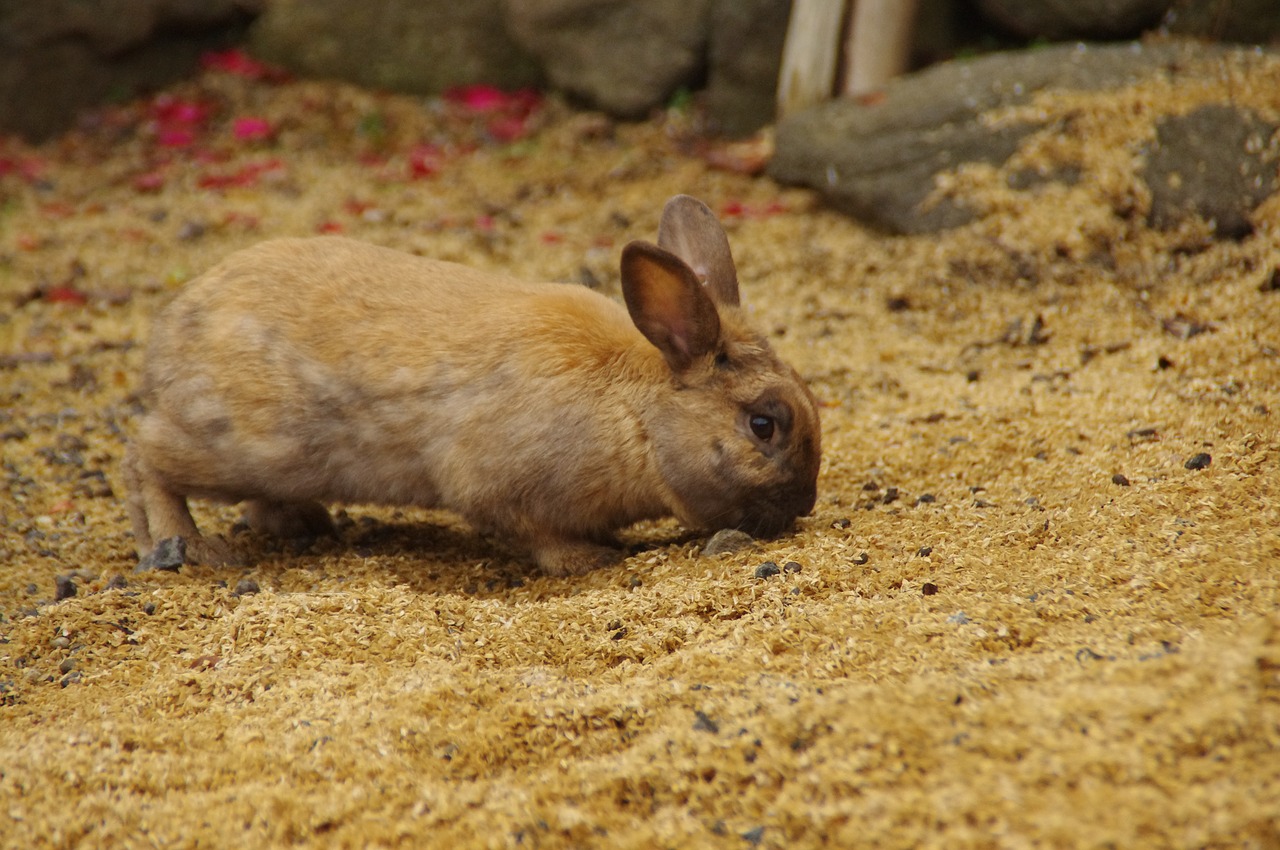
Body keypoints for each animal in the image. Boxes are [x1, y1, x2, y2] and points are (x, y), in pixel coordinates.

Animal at [122, 194, 819, 573]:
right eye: (764, 424)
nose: (804, 506)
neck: (638, 418)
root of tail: (170, 336)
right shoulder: (495, 486)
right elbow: (535, 535)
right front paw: (590, 560)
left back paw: (306, 524)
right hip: (231, 443)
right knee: (144, 457)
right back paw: (189, 547)